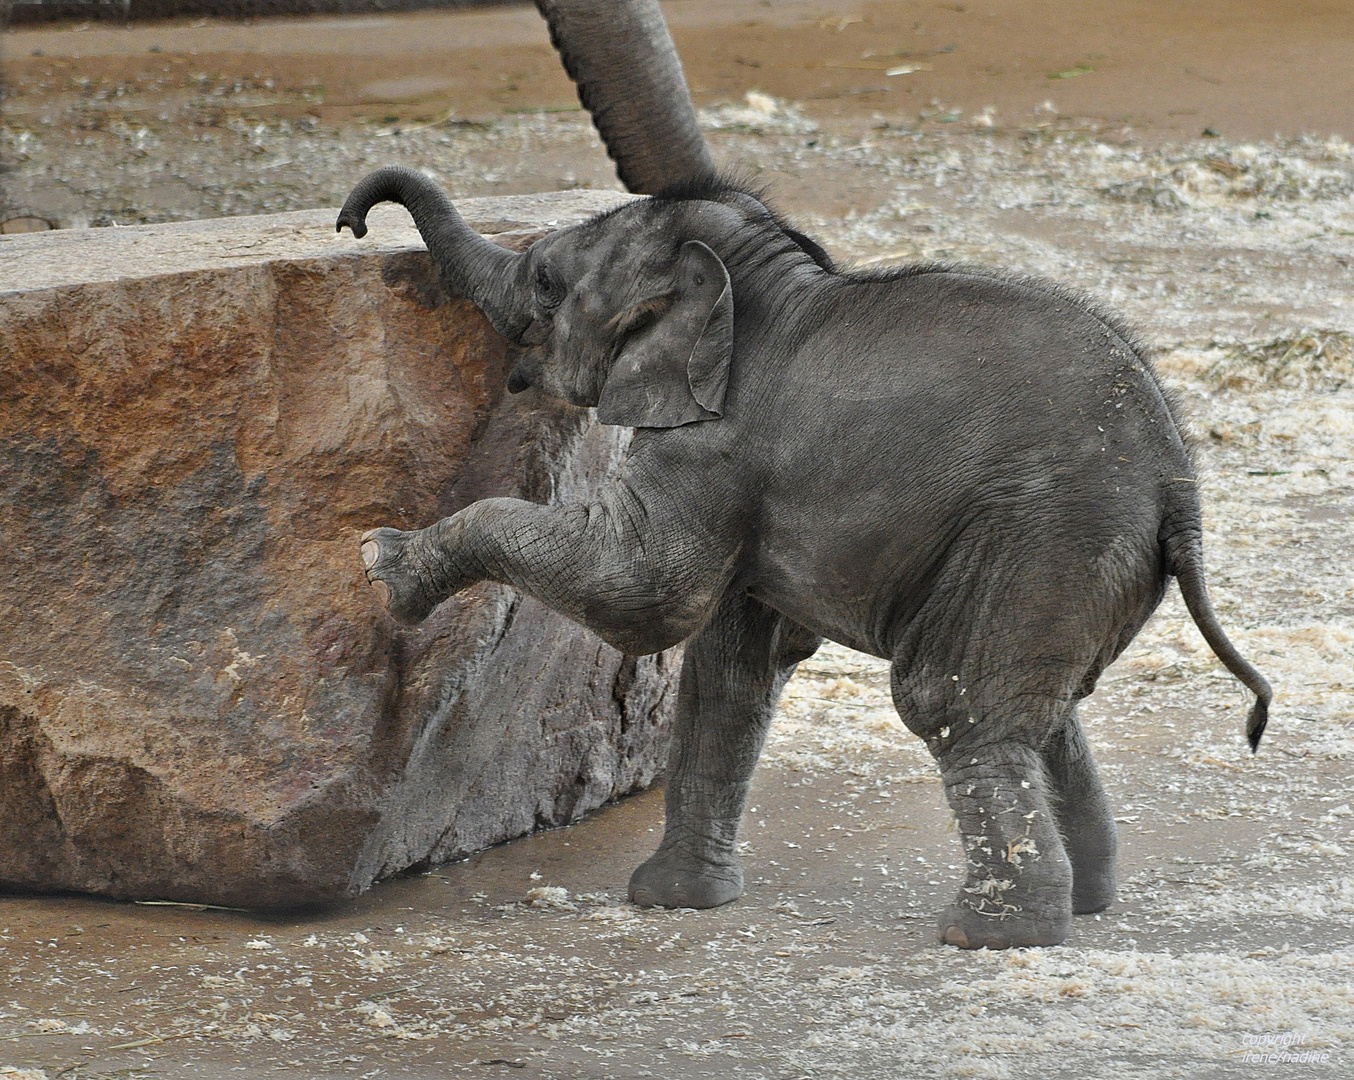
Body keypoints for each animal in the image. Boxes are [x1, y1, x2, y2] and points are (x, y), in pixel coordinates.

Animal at [338, 165, 1267, 952]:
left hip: (1044, 533)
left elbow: (644, 598)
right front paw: (673, 903)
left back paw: (990, 935)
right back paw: (1086, 902)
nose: (353, 221)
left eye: (543, 281)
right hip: (1071, 559)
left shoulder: (714, 446)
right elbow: (733, 668)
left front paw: (382, 563)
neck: (758, 279)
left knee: (953, 701)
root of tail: (1179, 484)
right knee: (1042, 710)